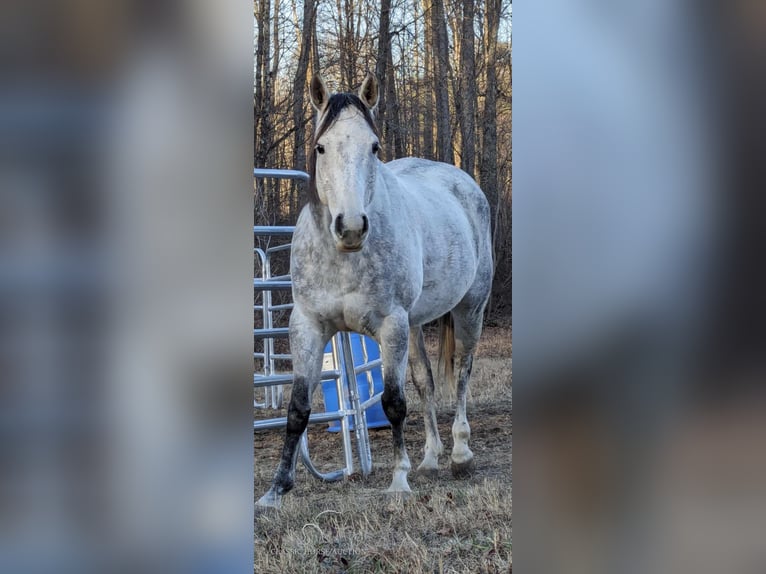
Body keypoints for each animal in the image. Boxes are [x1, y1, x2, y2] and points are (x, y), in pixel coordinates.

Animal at [258, 74, 496, 510]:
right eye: (321, 146)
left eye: (374, 146)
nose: (351, 227)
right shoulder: (307, 326)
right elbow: (298, 408)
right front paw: (276, 490)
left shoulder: (390, 325)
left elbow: (392, 402)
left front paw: (399, 479)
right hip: (417, 324)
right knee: (425, 381)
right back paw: (430, 459)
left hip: (469, 310)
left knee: (461, 374)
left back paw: (459, 454)